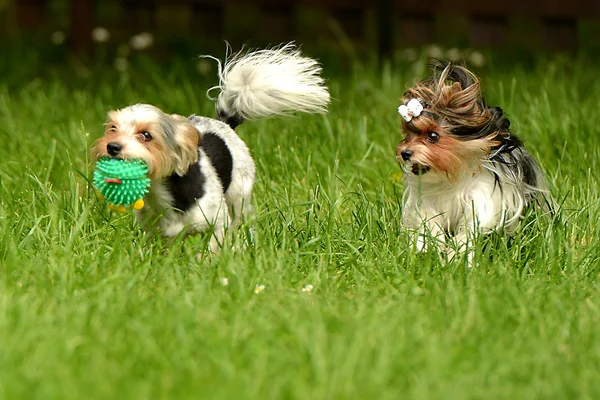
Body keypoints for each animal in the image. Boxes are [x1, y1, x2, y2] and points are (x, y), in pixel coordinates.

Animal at [92, 43, 332, 250]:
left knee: (242, 221)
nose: (112, 147)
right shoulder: (155, 232)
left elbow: (213, 248)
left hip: (238, 195)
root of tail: (225, 123)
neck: (164, 193)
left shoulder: (216, 222)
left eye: (146, 135)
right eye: (112, 128)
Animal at [396, 61, 552, 258]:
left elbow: (472, 227)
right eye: (408, 135)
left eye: (433, 136)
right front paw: (426, 247)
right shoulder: (428, 200)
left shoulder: (483, 198)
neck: (454, 174)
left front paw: (457, 253)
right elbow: (429, 222)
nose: (405, 153)